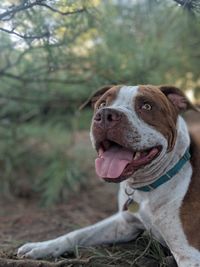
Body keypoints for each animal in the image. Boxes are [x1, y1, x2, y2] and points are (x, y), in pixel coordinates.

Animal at [17, 85, 200, 266]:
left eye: (147, 106)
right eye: (102, 104)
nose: (105, 115)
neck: (147, 188)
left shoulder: (189, 254)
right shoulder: (124, 224)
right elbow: (79, 233)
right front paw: (42, 246)